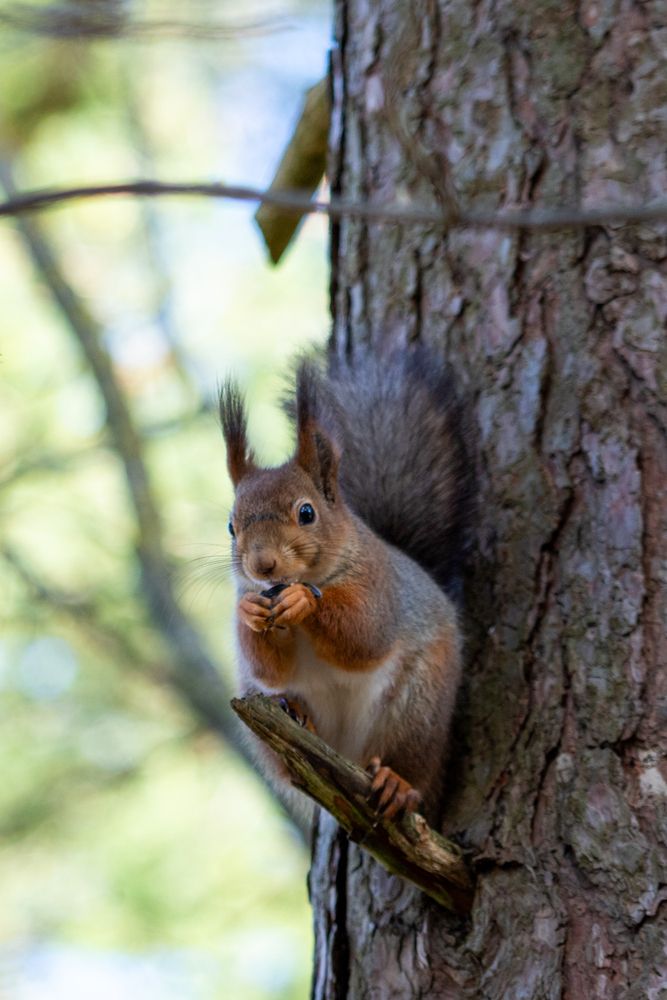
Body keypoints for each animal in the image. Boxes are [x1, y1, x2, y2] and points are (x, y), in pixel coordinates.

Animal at [219, 347, 472, 824]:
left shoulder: (379, 584)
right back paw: (297, 714)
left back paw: (396, 783)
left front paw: (304, 601)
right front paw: (251, 612)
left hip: (419, 709)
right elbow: (269, 668)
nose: (262, 565)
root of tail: (348, 753)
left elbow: (363, 636)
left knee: (409, 763)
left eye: (306, 513)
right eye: (230, 525)